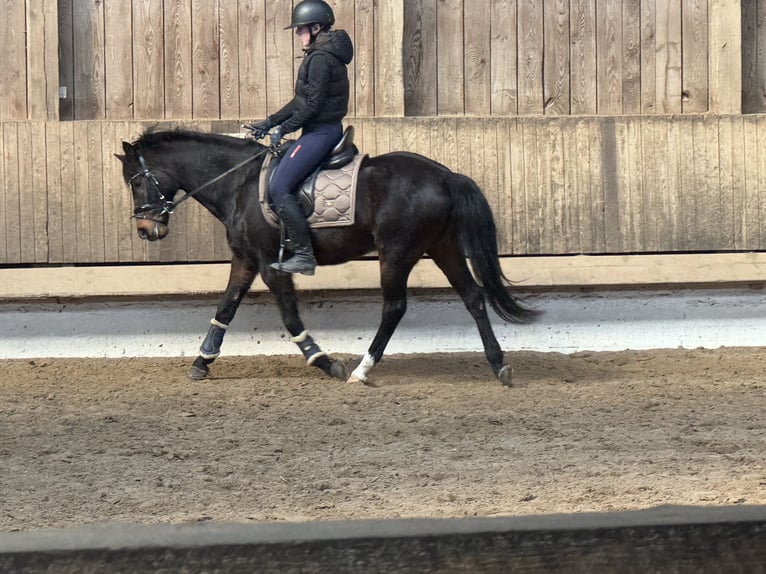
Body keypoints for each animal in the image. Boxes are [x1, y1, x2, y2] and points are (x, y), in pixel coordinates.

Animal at [116, 128, 538, 386]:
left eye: (135, 181)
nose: (146, 230)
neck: (238, 183)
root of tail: (445, 175)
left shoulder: (271, 264)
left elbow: (289, 316)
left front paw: (323, 360)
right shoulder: (245, 260)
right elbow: (225, 309)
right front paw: (201, 362)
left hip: (397, 251)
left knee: (395, 307)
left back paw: (362, 370)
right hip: (442, 247)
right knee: (473, 297)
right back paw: (499, 365)